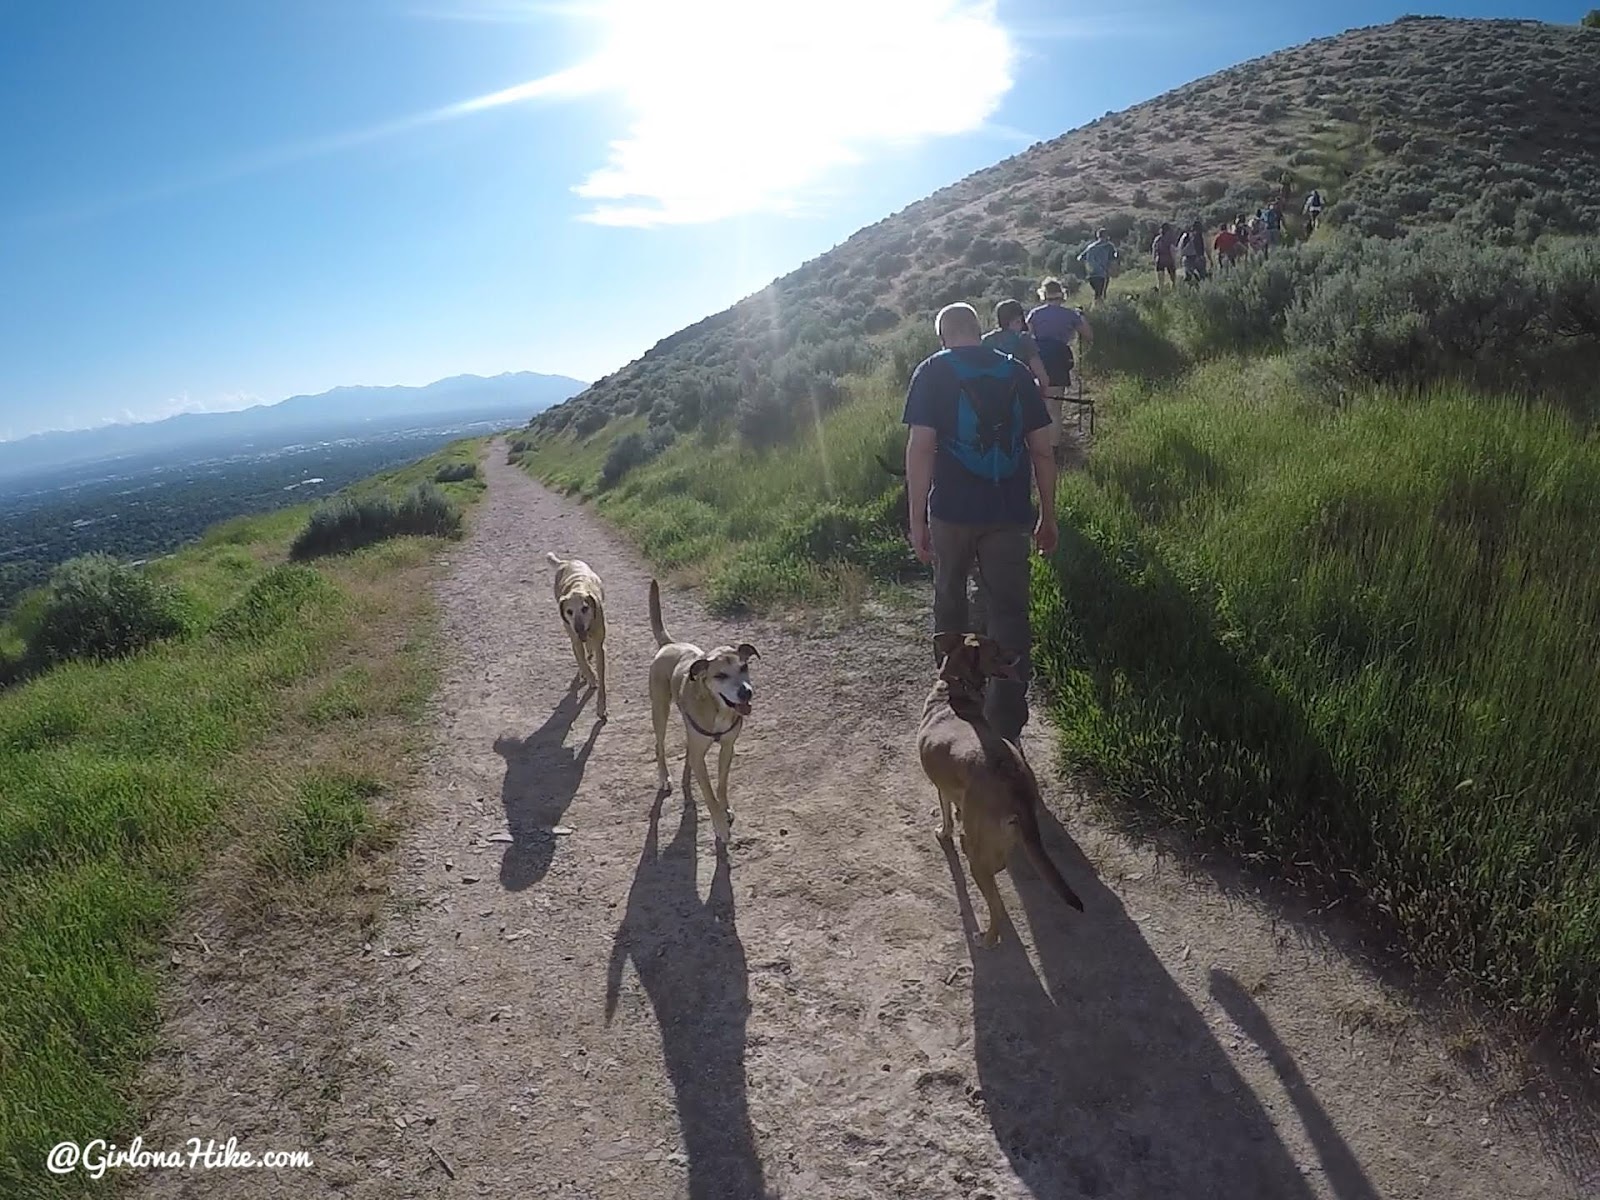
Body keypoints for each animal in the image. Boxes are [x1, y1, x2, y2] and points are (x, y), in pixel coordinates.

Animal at [544, 556, 604, 723]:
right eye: (569, 611)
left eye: (585, 608)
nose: (578, 629)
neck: (578, 587)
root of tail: (566, 562)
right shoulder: (576, 641)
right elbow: (583, 662)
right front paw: (590, 676)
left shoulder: (599, 646)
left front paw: (601, 707)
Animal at [643, 579, 755, 851]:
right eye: (720, 675)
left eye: (744, 667)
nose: (745, 692)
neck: (718, 708)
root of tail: (669, 644)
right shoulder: (702, 756)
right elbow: (709, 794)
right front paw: (720, 826)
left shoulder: (727, 748)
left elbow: (721, 785)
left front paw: (725, 808)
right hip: (659, 710)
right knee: (660, 744)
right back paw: (665, 776)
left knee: (688, 749)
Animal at [915, 633, 1088, 947]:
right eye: (995, 649)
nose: (1018, 655)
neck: (955, 690)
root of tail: (1015, 783)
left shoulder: (941, 788)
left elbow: (945, 816)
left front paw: (943, 832)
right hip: (1003, 836)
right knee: (998, 864)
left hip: (978, 852)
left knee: (996, 904)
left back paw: (986, 937)